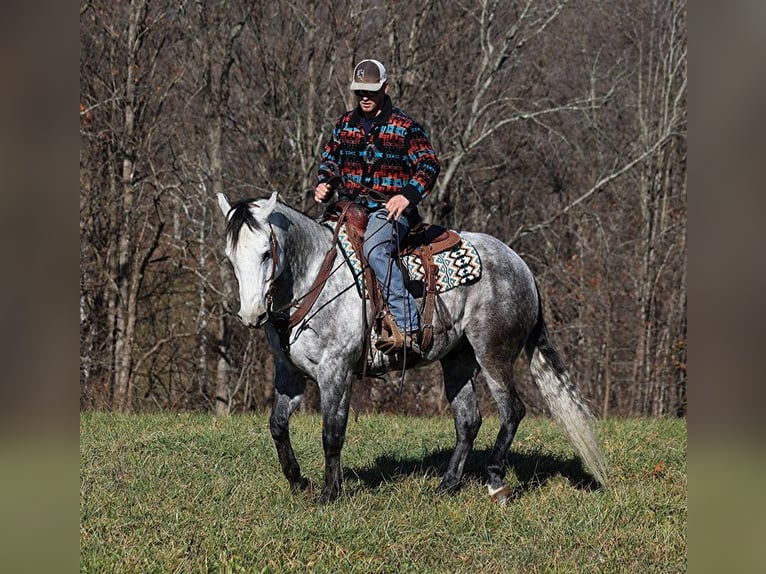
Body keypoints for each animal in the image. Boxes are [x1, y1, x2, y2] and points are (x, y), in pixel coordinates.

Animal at [219, 192, 608, 504]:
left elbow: (332, 433)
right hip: (457, 360)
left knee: (512, 410)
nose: (251, 314)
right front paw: (300, 482)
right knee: (468, 420)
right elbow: (277, 425)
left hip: (493, 354)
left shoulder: (336, 372)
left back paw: (496, 481)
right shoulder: (289, 373)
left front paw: (330, 494)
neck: (316, 276)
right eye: (230, 256)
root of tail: (522, 266)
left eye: (266, 253)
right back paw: (447, 485)